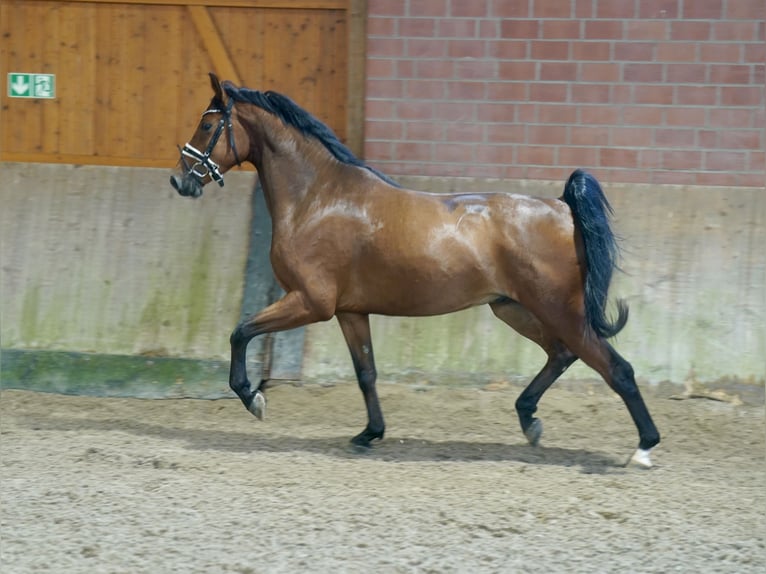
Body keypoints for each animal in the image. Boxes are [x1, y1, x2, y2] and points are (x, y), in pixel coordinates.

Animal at [171, 73, 660, 468]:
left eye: (208, 125)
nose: (180, 180)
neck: (319, 197)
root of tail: (562, 207)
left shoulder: (311, 302)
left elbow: (240, 332)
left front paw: (252, 397)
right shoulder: (349, 311)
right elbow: (366, 373)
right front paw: (370, 434)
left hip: (557, 310)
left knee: (615, 368)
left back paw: (643, 448)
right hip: (513, 308)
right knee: (561, 355)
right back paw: (529, 421)